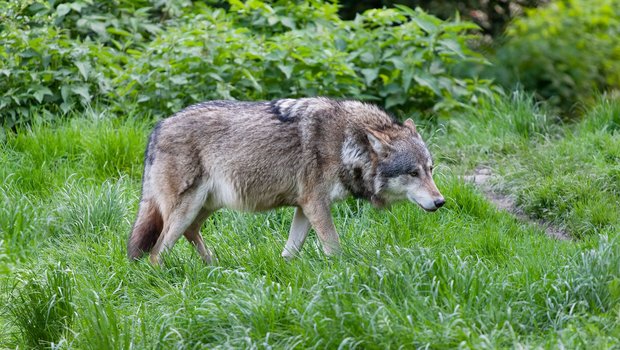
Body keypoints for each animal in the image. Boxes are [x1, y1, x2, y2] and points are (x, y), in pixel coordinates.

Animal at [128, 97, 444, 264]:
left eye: (430, 170)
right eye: (413, 173)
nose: (441, 202)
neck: (346, 143)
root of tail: (157, 128)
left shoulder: (304, 207)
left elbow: (291, 250)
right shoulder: (316, 204)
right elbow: (334, 246)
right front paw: (343, 272)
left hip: (205, 206)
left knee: (191, 233)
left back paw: (214, 266)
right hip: (186, 208)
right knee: (156, 253)